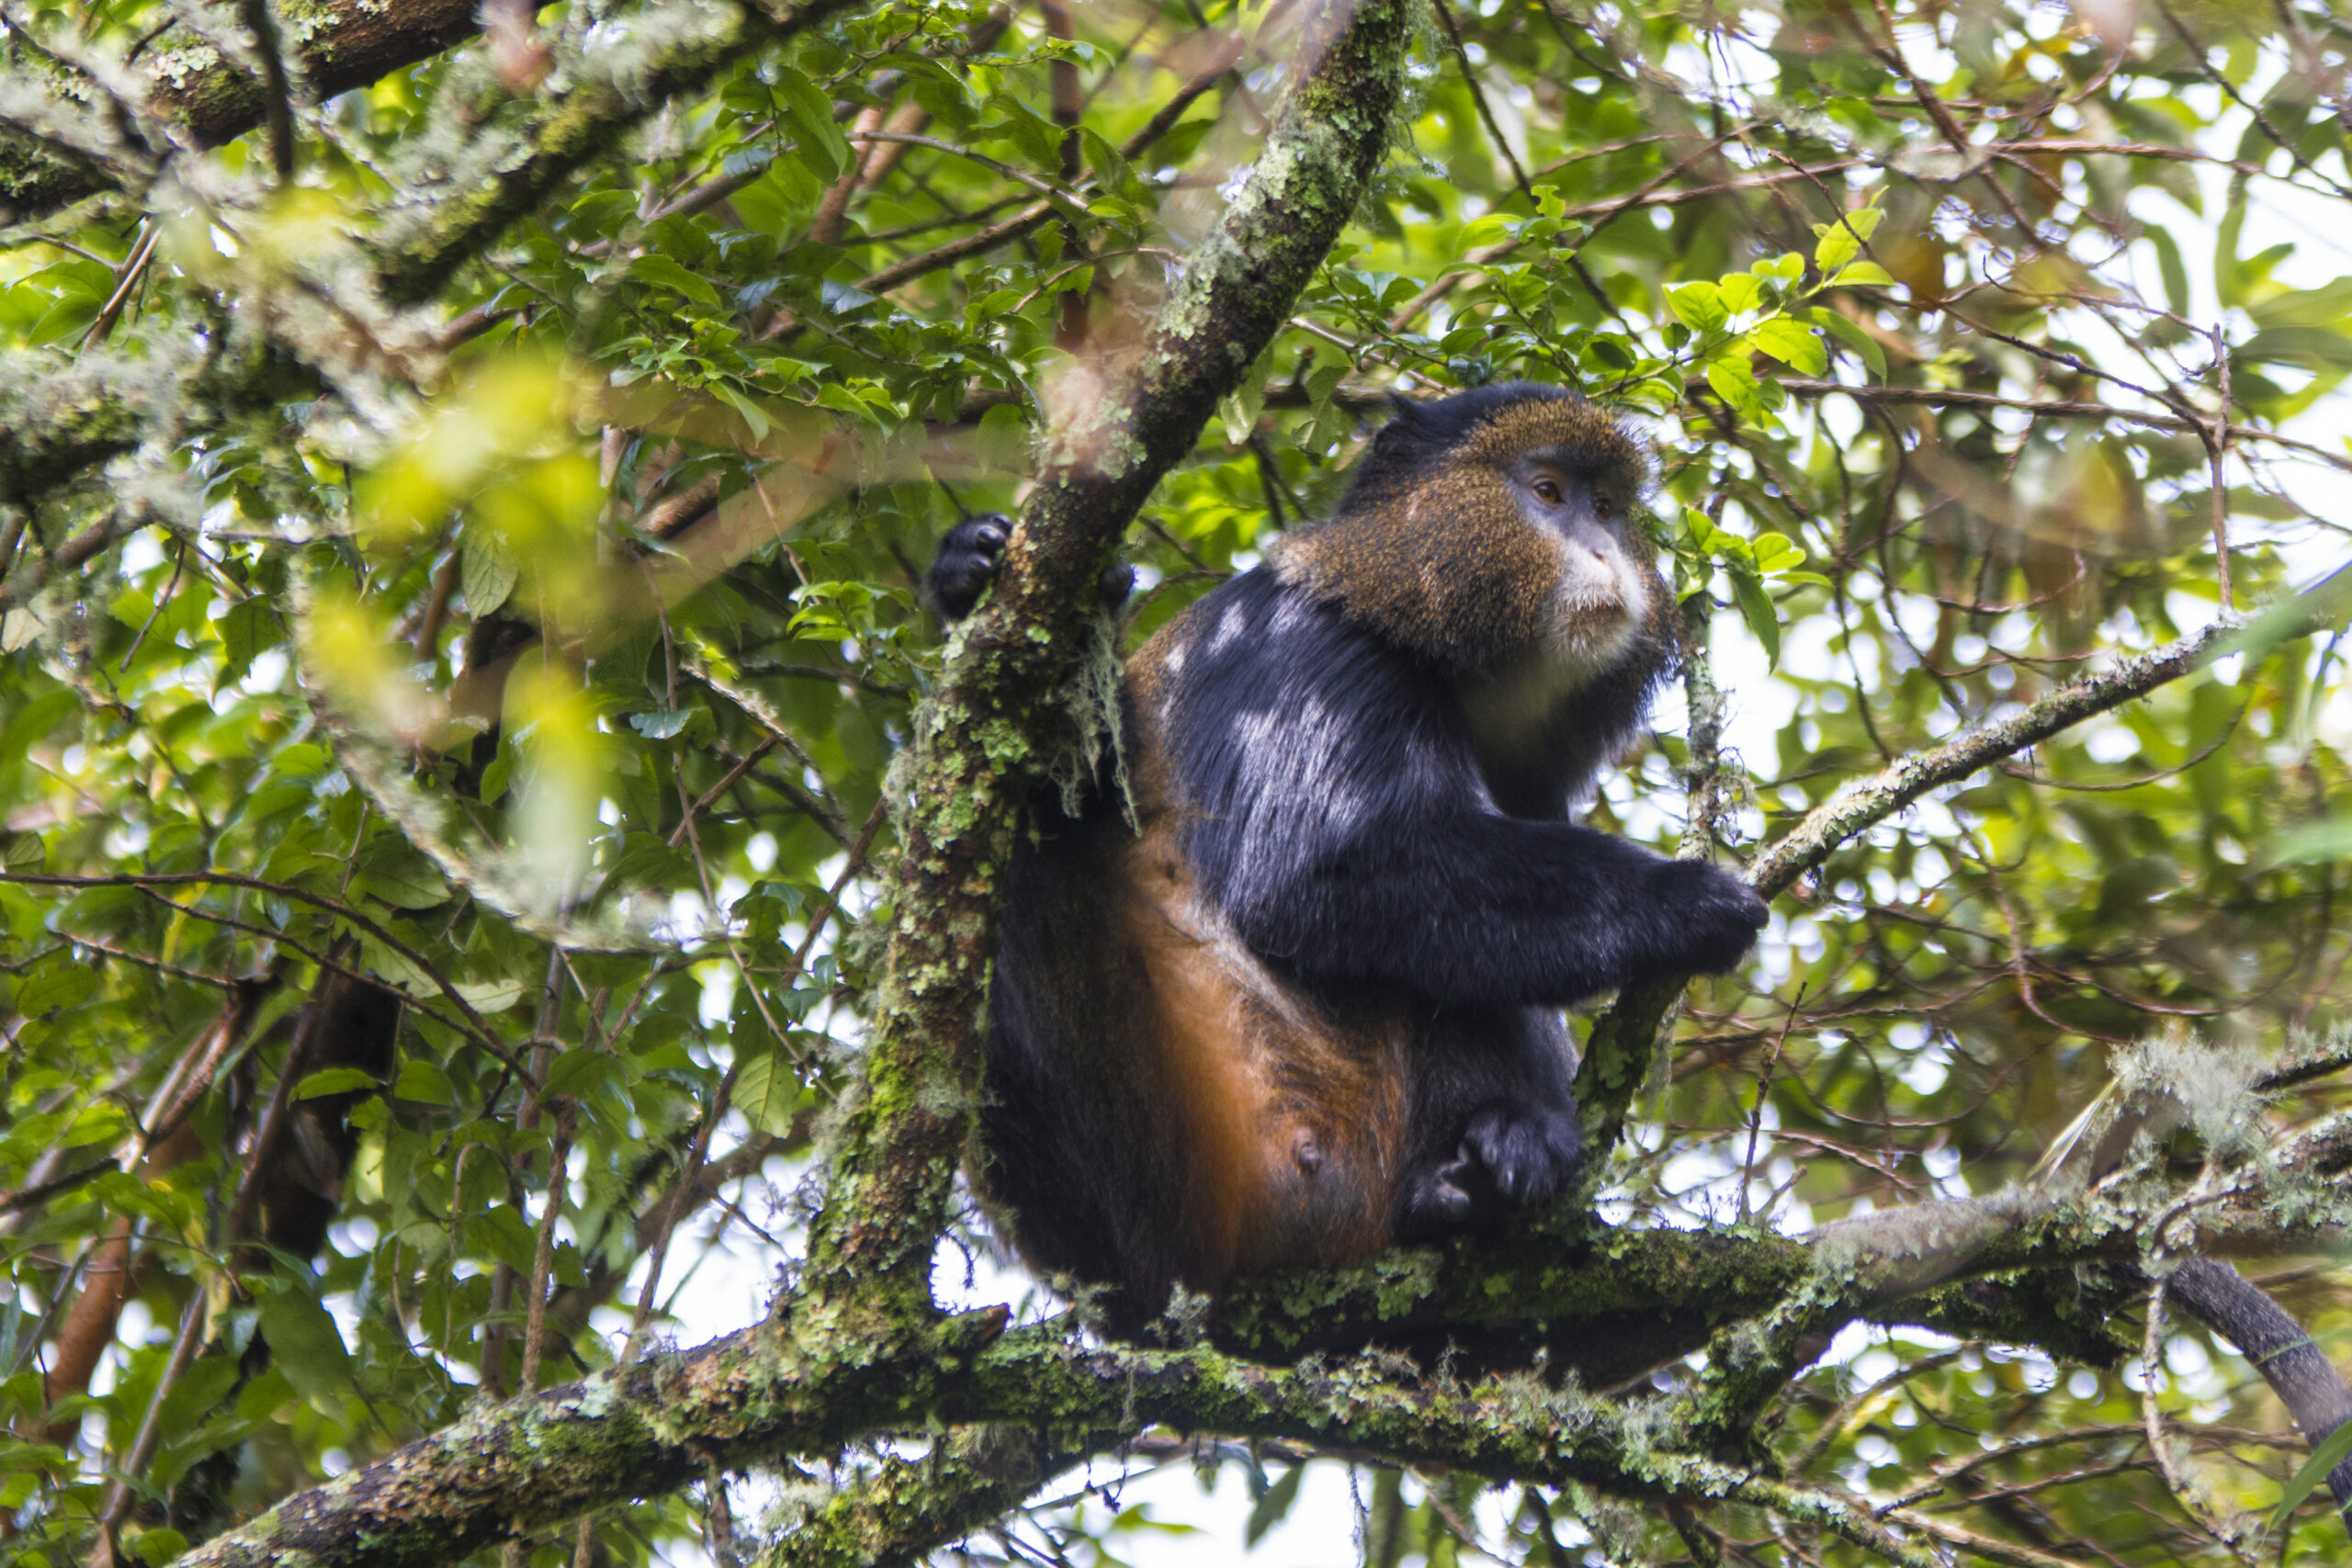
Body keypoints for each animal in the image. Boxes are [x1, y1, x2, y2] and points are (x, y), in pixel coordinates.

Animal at [929, 383, 1768, 1335]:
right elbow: (1319, 877)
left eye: (1609, 507)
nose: (1601, 549)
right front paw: (1687, 899)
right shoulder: (1310, 651)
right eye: (1548, 492)